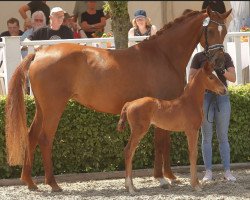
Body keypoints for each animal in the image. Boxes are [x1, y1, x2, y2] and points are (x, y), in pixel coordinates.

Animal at [117, 61, 227, 194]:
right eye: (211, 77)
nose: (224, 90)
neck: (190, 103)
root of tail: (129, 104)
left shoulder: (195, 131)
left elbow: (193, 153)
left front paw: (196, 183)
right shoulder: (191, 131)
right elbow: (193, 154)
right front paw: (195, 185)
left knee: (130, 151)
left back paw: (131, 186)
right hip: (139, 130)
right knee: (129, 151)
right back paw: (130, 188)